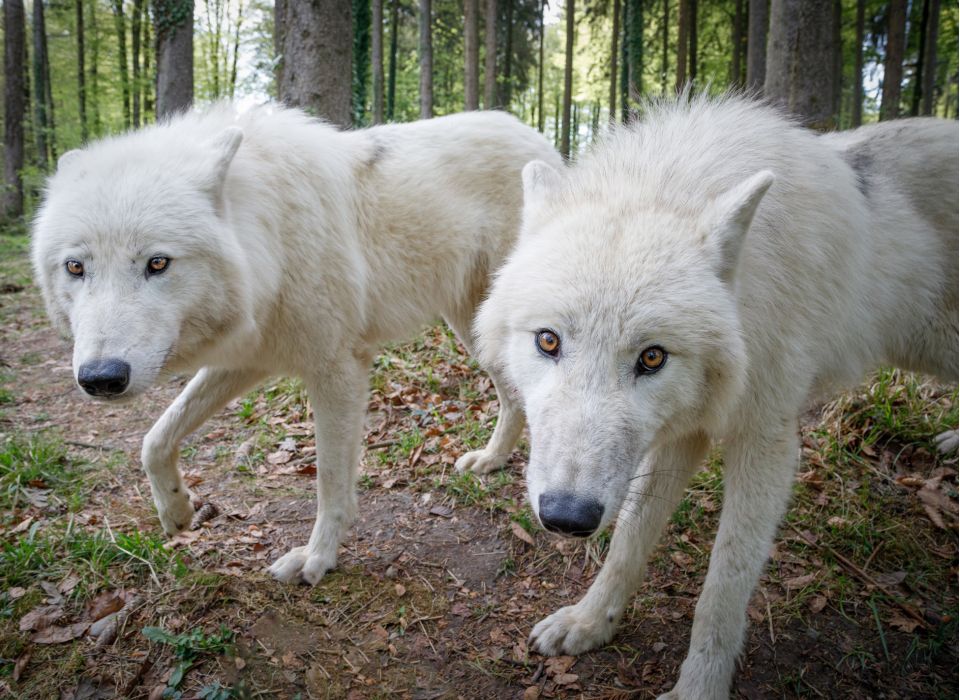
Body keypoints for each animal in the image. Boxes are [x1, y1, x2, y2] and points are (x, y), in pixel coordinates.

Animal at [31, 104, 561, 585]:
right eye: (75, 267)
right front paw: (177, 512)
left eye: (157, 263)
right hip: (475, 329)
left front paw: (316, 558)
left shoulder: (338, 369)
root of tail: (534, 136)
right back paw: (491, 460)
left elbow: (330, 481)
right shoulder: (248, 357)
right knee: (512, 396)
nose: (101, 378)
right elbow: (155, 438)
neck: (272, 241)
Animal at [475, 95, 958, 698]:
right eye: (548, 340)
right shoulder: (682, 434)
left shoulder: (767, 442)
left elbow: (723, 587)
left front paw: (698, 686)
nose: (567, 516)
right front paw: (590, 622)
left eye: (651, 358)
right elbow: (628, 541)